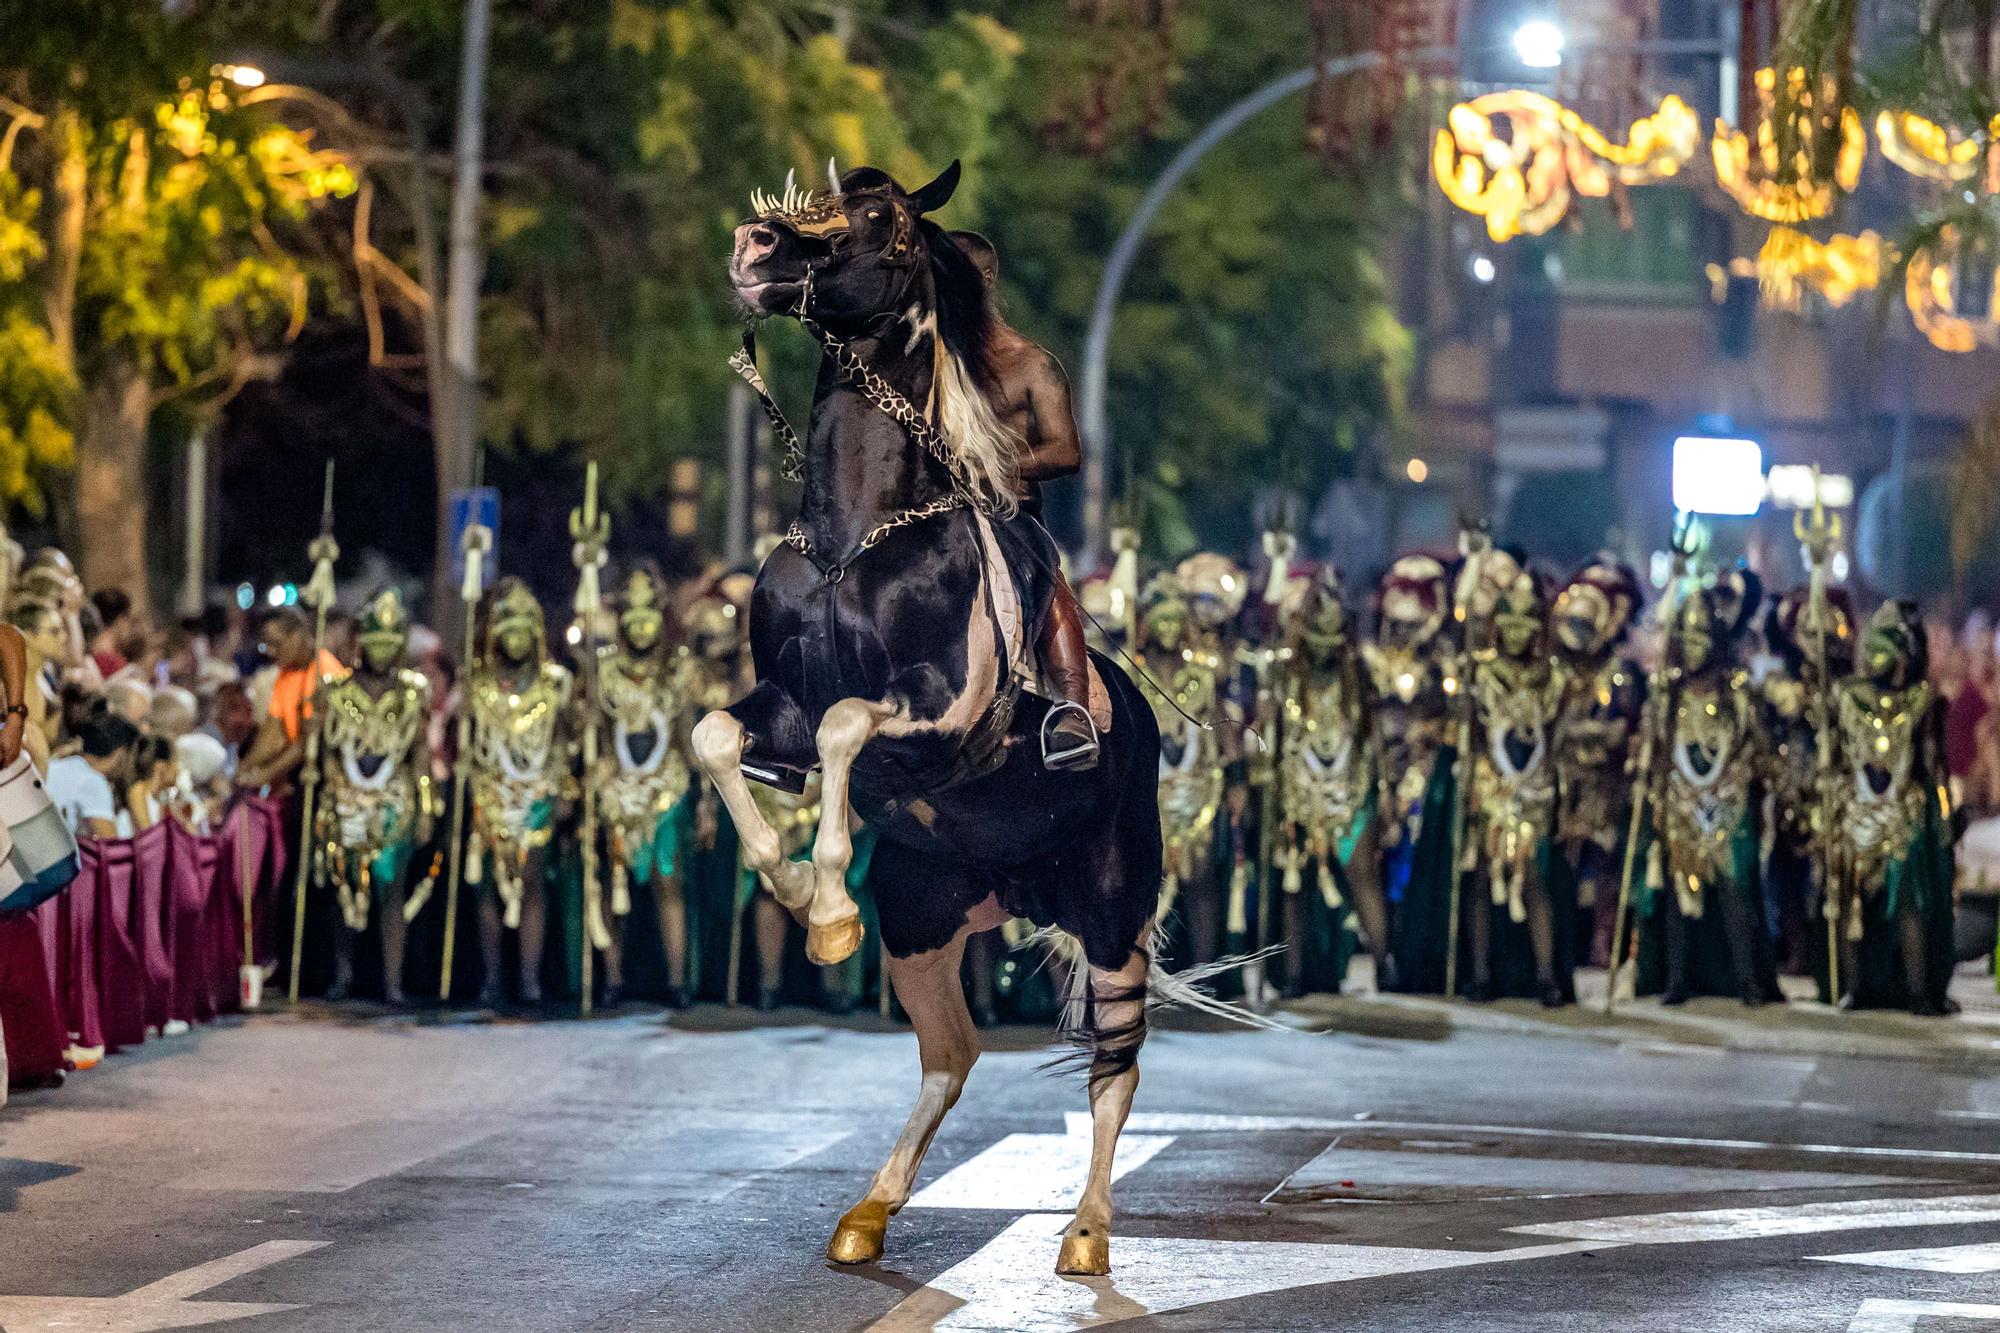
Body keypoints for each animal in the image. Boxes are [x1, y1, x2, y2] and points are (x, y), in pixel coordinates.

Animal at [700, 161, 1168, 1272]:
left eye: (886, 226)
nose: (754, 248)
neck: (856, 536)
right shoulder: (778, 705)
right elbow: (719, 737)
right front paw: (794, 883)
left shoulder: (939, 721)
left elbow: (844, 730)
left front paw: (823, 911)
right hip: (922, 917)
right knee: (951, 1054)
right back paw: (870, 1209)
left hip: (1113, 911)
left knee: (1115, 1068)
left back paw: (1087, 1230)